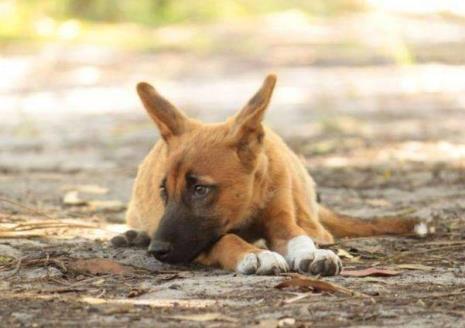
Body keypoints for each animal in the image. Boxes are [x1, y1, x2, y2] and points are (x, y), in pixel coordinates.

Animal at [111, 75, 428, 276]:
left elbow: (298, 237)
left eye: (200, 189)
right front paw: (255, 254)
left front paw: (311, 254)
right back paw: (134, 235)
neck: (248, 204)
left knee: (316, 229)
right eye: (163, 190)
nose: (157, 251)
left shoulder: (281, 220)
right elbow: (225, 239)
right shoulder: (203, 240)